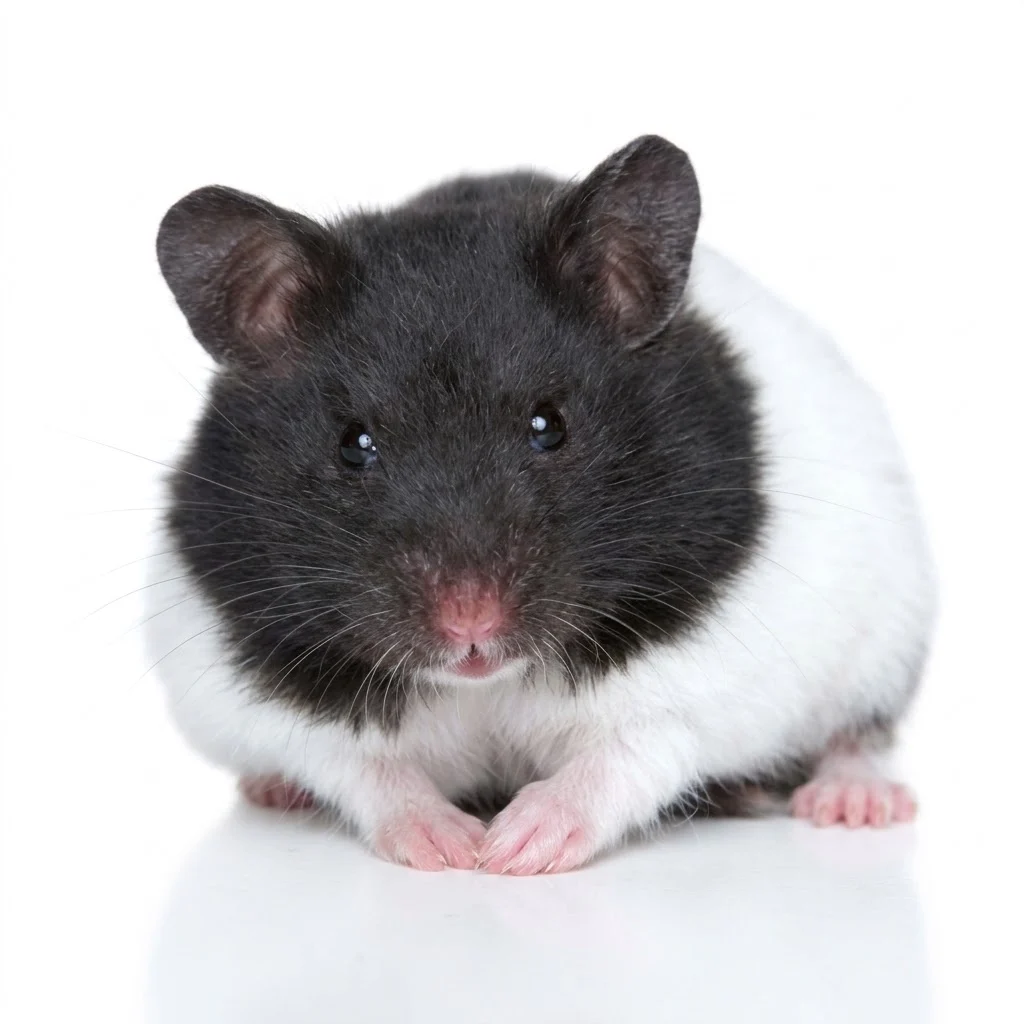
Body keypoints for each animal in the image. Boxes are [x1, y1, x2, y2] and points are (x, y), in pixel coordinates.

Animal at [146, 135, 936, 873]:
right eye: (353, 444)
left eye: (549, 424)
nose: (470, 623)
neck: (483, 683)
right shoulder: (265, 687)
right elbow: (365, 769)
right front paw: (452, 849)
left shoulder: (707, 681)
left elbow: (630, 753)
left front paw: (515, 850)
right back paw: (274, 791)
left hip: (888, 634)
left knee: (858, 732)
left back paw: (854, 804)